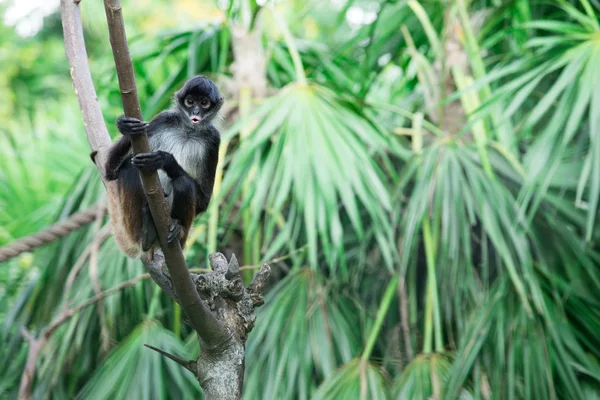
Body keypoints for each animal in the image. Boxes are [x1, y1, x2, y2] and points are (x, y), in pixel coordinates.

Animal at [104, 75, 224, 258]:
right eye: (190, 102)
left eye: (204, 103)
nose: (195, 112)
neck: (188, 131)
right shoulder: (162, 119)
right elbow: (110, 173)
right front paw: (126, 126)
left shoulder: (213, 139)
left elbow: (203, 201)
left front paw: (167, 160)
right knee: (129, 167)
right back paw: (146, 233)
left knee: (183, 183)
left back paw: (177, 231)